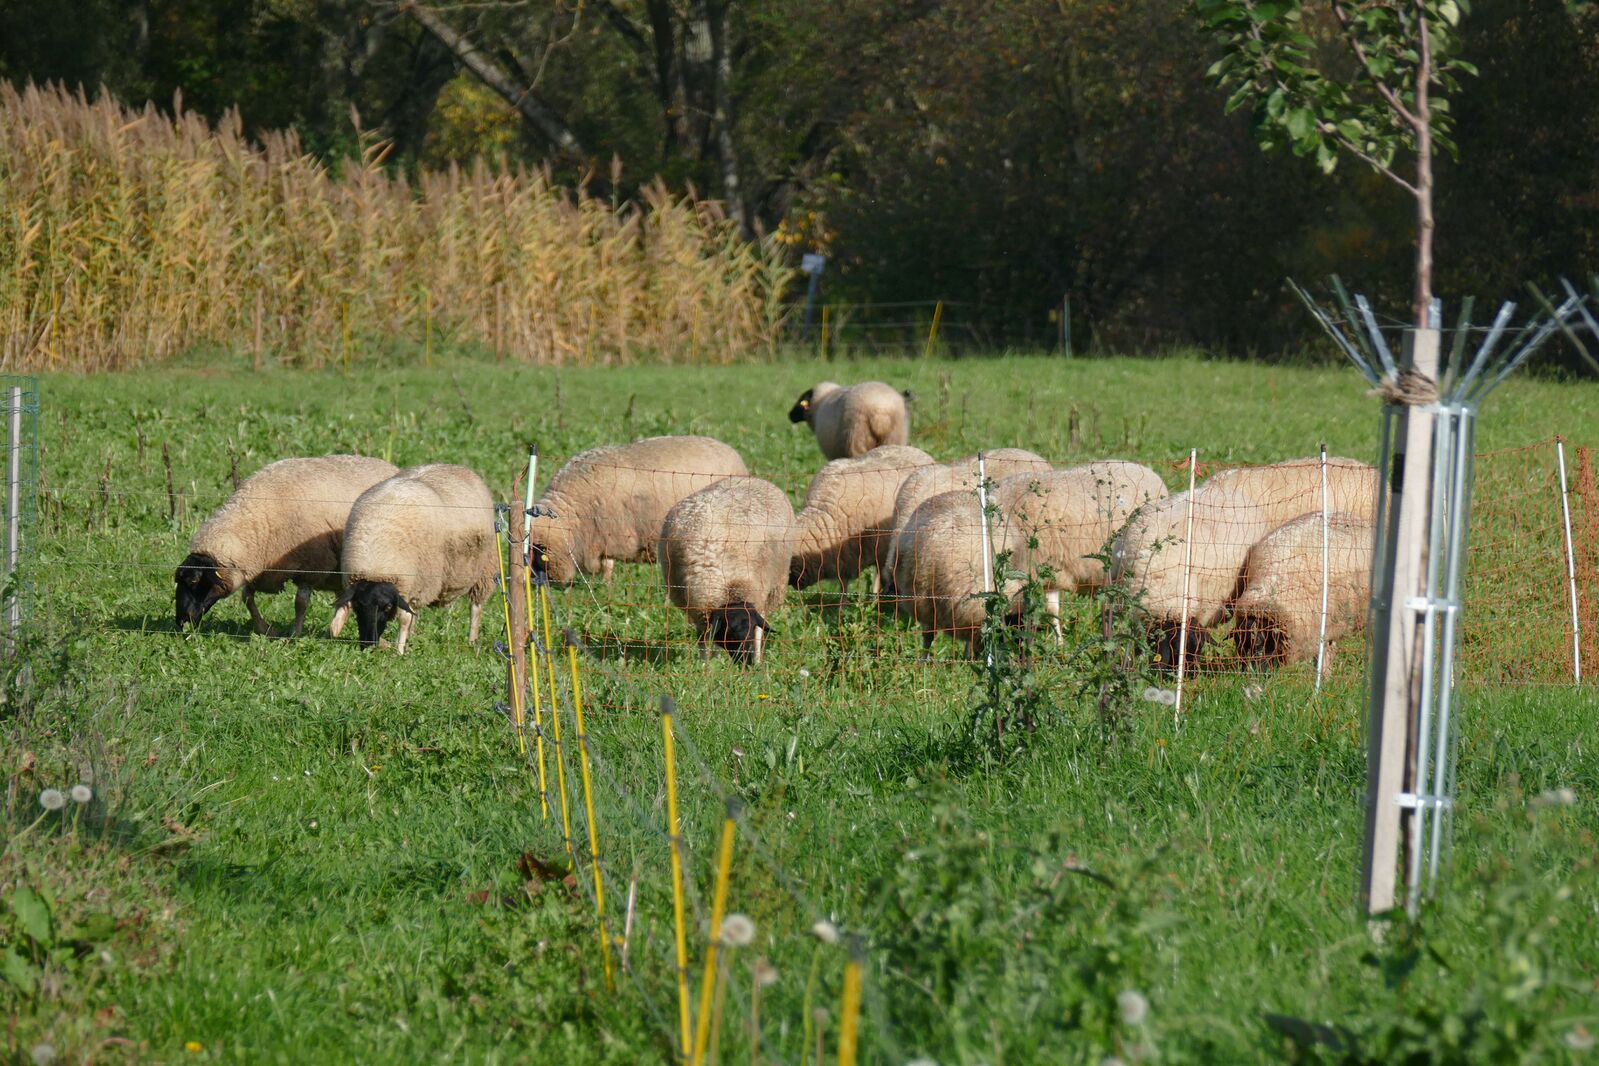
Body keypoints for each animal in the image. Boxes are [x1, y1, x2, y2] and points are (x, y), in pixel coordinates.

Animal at [174, 454, 398, 635]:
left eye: (194, 581)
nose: (181, 620)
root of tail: (392, 467)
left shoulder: (312, 565)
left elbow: (300, 603)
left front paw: (295, 634)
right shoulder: (258, 568)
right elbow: (247, 598)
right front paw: (265, 629)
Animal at [328, 464, 498, 654]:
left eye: (387, 607)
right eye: (358, 606)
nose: (368, 644)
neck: (377, 561)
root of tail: (456, 466)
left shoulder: (412, 584)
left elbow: (404, 619)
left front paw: (399, 651)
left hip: (484, 569)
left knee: (476, 607)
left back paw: (472, 641)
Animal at [527, 436, 749, 586]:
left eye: (537, 553)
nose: (533, 583)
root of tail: (733, 453)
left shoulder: (611, 533)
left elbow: (608, 565)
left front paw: (606, 585)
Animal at [659, 477, 797, 666]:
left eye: (749, 631)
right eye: (730, 633)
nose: (747, 663)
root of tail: (752, 478)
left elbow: (758, 633)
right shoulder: (699, 609)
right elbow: (704, 640)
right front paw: (706, 665)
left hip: (774, 584)